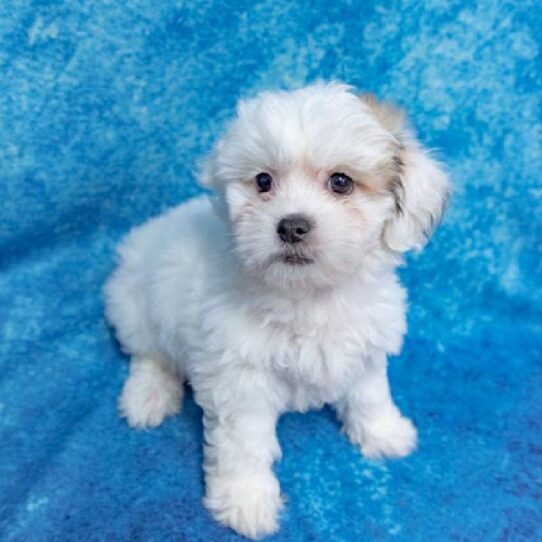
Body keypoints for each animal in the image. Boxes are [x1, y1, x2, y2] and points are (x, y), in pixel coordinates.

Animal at [105, 83, 450, 540]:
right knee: (149, 354)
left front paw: (385, 432)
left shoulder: (365, 346)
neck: (310, 295)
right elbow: (243, 443)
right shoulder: (240, 376)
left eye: (341, 182)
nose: (291, 226)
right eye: (263, 181)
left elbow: (370, 394)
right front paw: (245, 499)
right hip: (138, 304)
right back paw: (148, 396)